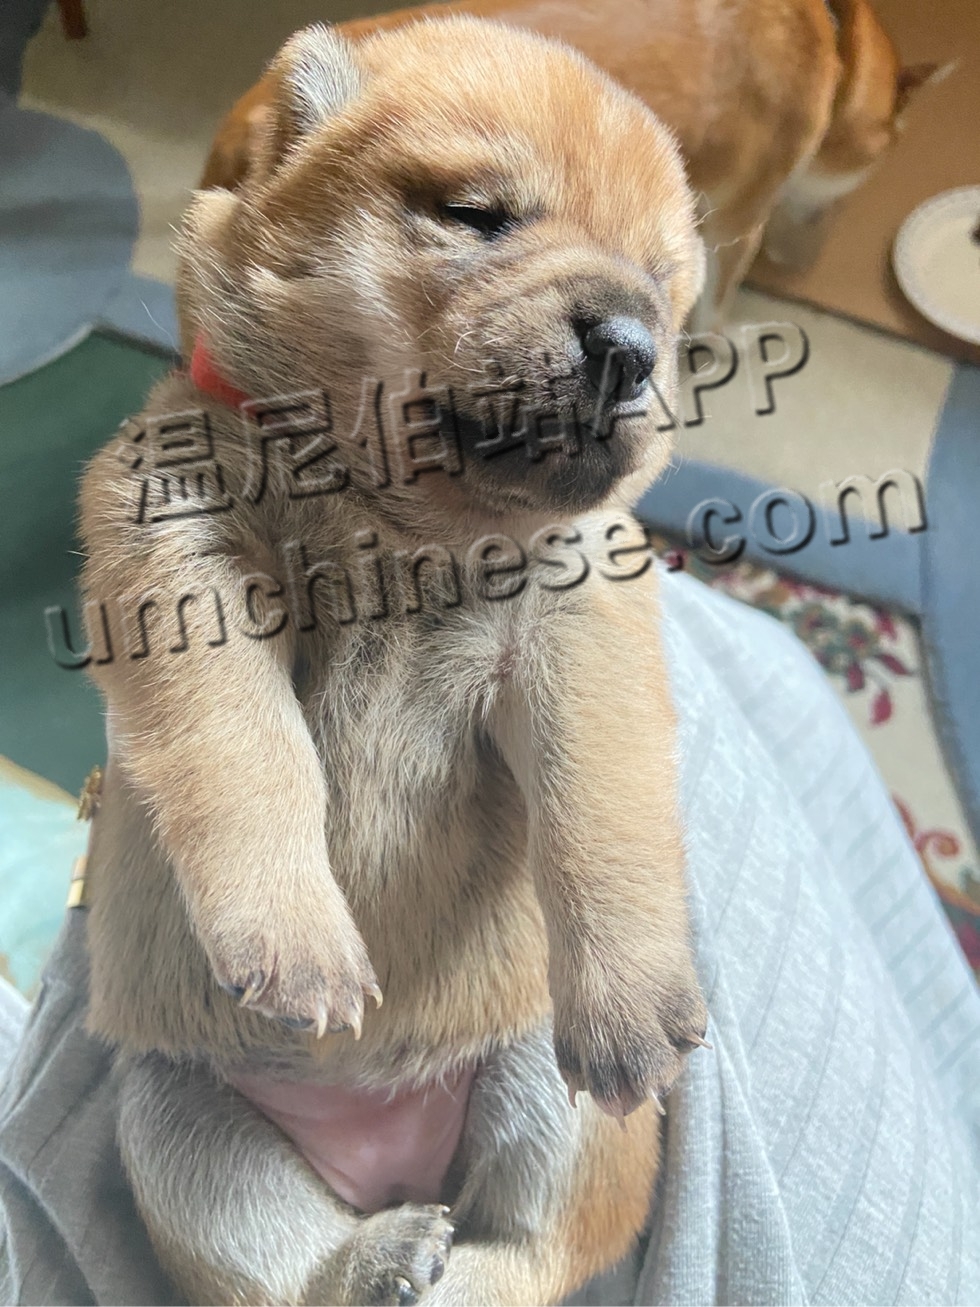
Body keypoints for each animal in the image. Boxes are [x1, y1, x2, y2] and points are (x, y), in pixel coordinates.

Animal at [79, 17, 708, 1305]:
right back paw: (379, 1254)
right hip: (178, 1125)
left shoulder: (580, 625)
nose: (630, 344)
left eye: (666, 285)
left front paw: (636, 1001)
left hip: (544, 1098)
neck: (395, 518)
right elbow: (249, 756)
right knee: (284, 1257)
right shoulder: (179, 550)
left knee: (529, 1248)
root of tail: (384, 1154)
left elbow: (601, 807)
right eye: (474, 214)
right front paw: (301, 944)